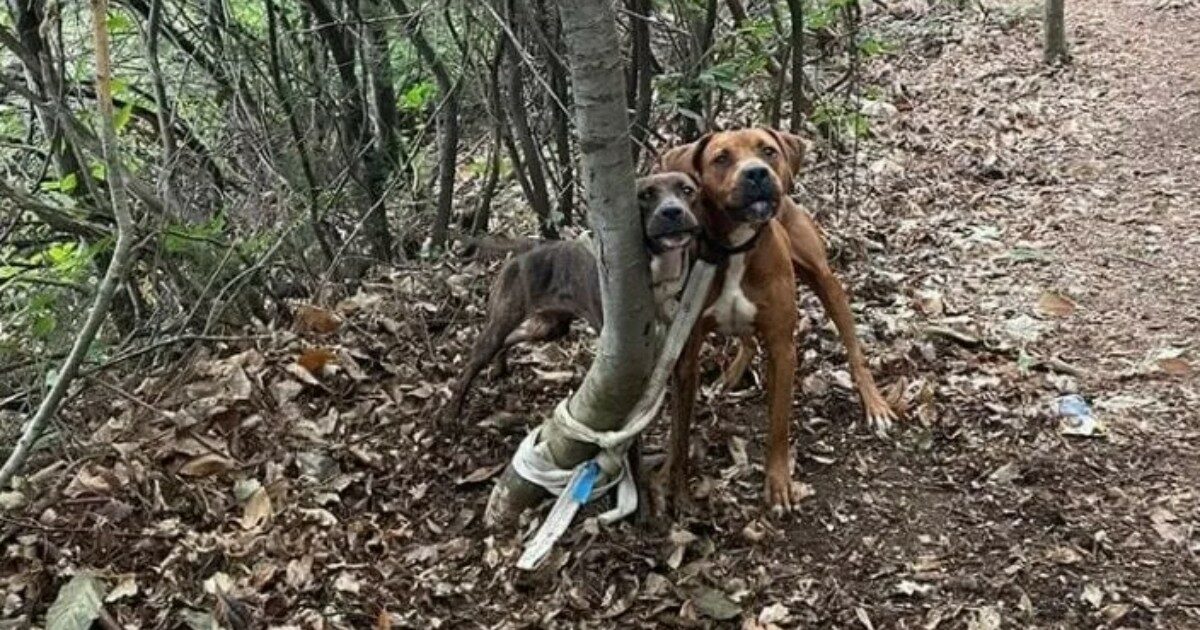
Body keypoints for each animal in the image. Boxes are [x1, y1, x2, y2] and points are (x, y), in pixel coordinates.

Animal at [446, 171, 700, 417]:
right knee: (474, 362)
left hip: (548, 328)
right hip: (501, 322)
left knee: (510, 339)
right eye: (646, 195)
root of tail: (527, 246)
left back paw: (499, 367)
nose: (672, 211)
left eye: (687, 190)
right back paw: (451, 413)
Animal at [657, 127, 892, 511]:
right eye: (721, 158)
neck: (737, 246)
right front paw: (670, 480)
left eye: (768, 151)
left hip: (825, 279)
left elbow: (779, 424)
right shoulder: (686, 355)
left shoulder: (783, 347)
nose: (757, 173)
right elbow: (679, 428)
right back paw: (729, 377)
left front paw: (779, 484)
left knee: (853, 347)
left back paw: (874, 404)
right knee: (747, 339)